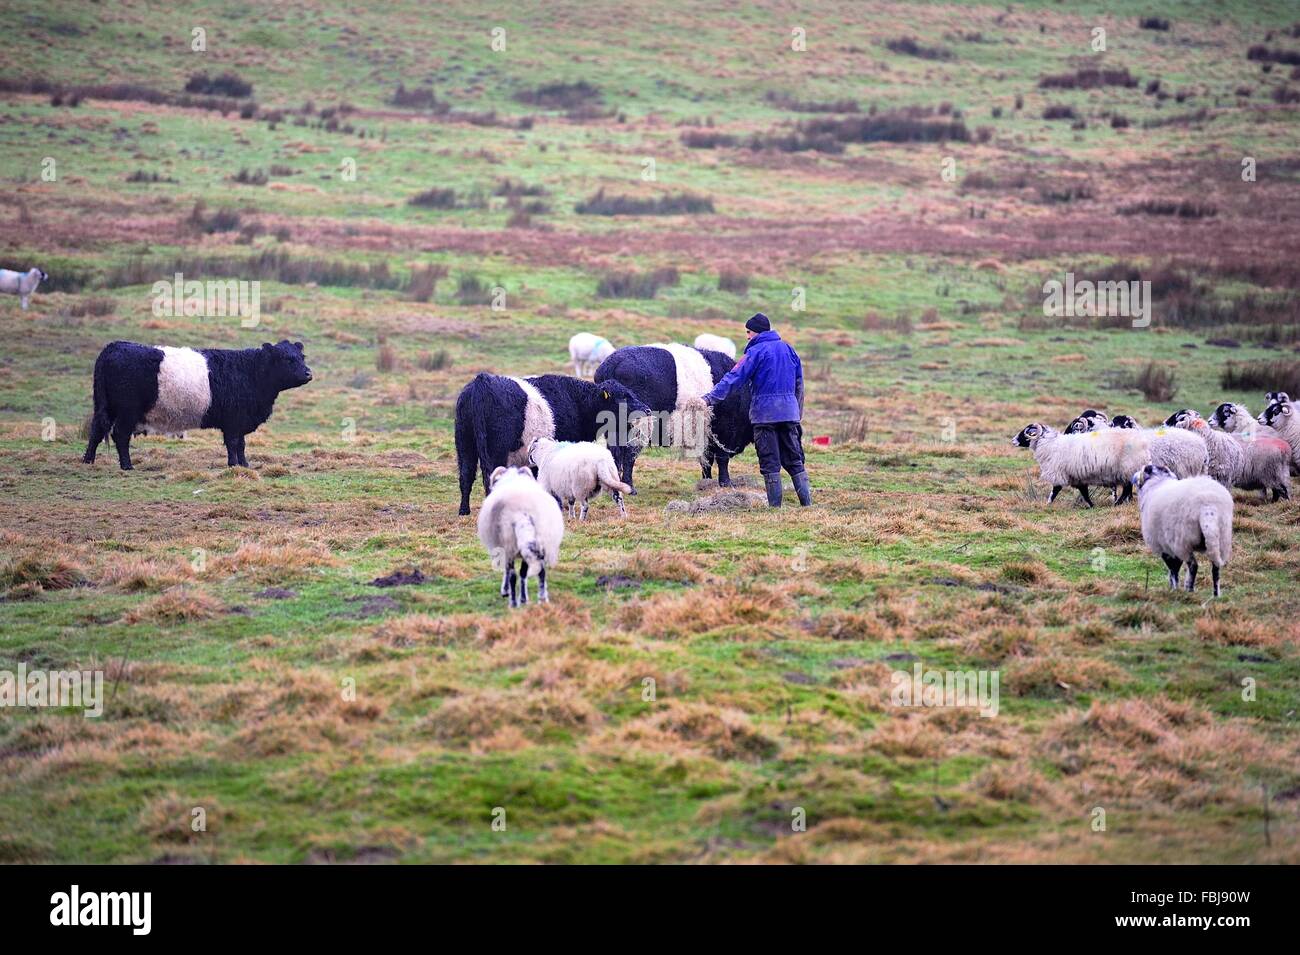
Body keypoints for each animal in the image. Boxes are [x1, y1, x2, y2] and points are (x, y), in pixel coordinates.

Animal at [83, 340, 312, 470]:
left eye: (302, 357)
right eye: (287, 359)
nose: (308, 373)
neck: (250, 371)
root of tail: (113, 346)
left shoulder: (239, 421)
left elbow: (242, 444)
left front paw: (245, 465)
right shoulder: (234, 421)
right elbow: (234, 444)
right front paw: (234, 465)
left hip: (106, 407)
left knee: (96, 430)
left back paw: (88, 461)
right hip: (127, 410)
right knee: (120, 434)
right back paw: (127, 466)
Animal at [454, 374, 650, 514]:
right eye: (624, 397)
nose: (647, 409)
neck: (577, 402)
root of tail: (482, 381)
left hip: (464, 443)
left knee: (466, 475)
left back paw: (464, 510)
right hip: (495, 451)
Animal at [475, 467, 561, 608]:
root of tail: (522, 514)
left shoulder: (505, 548)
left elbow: (508, 571)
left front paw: (506, 591)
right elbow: (523, 573)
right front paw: (524, 598)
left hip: (509, 542)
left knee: (513, 575)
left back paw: (513, 603)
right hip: (538, 542)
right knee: (539, 572)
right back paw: (541, 598)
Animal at [590, 345, 754, 493]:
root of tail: (611, 364)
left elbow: (706, 460)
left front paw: (706, 483)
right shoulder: (726, 430)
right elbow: (722, 458)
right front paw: (726, 483)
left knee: (615, 452)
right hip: (638, 426)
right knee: (629, 454)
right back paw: (630, 487)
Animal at [1133, 465, 1232, 597]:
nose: (1134, 477)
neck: (1157, 482)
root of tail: (1208, 507)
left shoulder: (1165, 546)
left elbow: (1173, 569)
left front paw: (1174, 589)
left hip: (1182, 540)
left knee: (1193, 565)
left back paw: (1189, 590)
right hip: (1222, 538)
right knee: (1215, 568)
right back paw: (1215, 595)